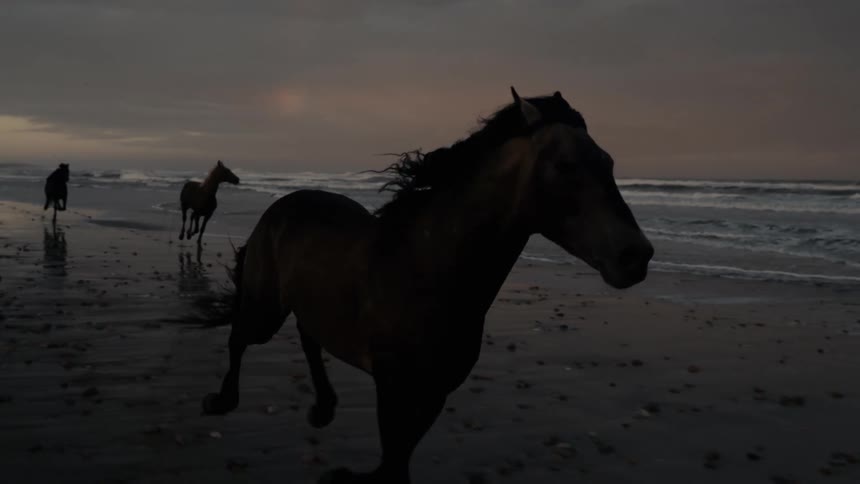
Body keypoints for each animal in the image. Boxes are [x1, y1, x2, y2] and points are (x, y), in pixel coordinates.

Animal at [201, 88, 654, 484]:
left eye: (609, 162)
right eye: (565, 165)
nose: (637, 257)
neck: (427, 271)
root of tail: (282, 203)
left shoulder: (435, 392)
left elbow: (397, 463)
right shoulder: (393, 388)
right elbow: (392, 462)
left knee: (308, 337)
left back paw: (324, 408)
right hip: (264, 309)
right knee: (240, 338)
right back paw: (222, 401)